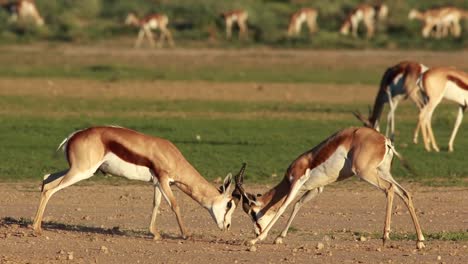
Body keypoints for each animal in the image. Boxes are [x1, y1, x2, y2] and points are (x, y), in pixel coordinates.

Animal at [32, 126, 239, 239]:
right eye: (229, 204)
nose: (228, 227)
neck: (170, 155)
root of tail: (74, 135)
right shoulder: (164, 180)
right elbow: (174, 205)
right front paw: (186, 234)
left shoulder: (157, 183)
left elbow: (156, 205)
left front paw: (155, 233)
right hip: (82, 172)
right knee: (49, 189)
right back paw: (36, 229)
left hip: (76, 170)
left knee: (46, 179)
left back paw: (36, 226)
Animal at [238, 127, 424, 250]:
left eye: (252, 214)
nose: (255, 232)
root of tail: (384, 141)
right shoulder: (316, 189)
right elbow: (298, 205)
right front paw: (279, 238)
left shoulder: (296, 182)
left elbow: (283, 207)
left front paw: (255, 240)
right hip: (382, 171)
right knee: (405, 193)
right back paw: (419, 241)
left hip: (366, 173)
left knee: (390, 189)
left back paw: (385, 237)